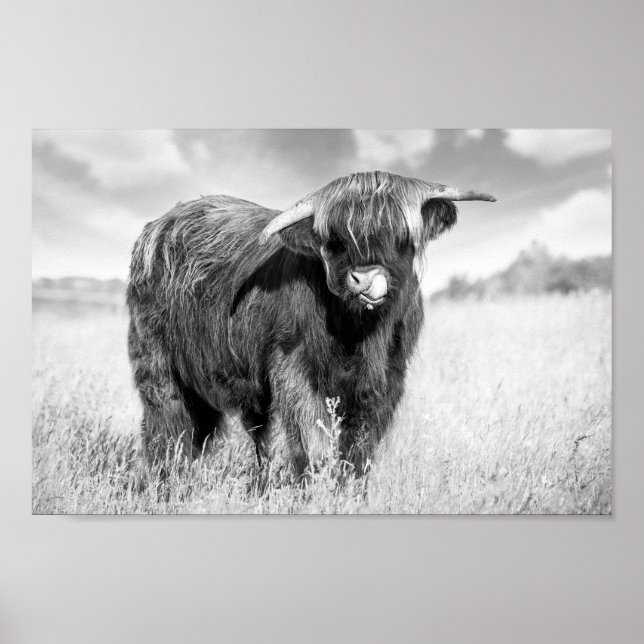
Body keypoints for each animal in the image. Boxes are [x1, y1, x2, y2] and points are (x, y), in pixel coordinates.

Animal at [126, 171, 495, 482]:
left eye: (401, 236)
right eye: (335, 240)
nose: (365, 278)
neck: (358, 333)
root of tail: (159, 226)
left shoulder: (386, 379)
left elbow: (360, 446)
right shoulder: (294, 369)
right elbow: (312, 440)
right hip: (156, 365)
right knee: (167, 427)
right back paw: (166, 483)